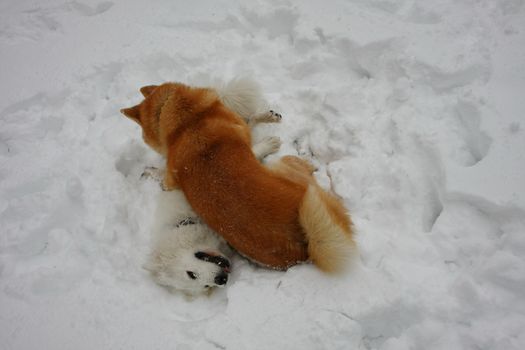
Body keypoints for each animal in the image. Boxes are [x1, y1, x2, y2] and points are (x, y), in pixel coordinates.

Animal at [141, 78, 282, 296]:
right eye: (203, 285)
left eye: (191, 274)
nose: (221, 280)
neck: (185, 222)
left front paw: (268, 143)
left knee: (248, 121)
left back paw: (268, 118)